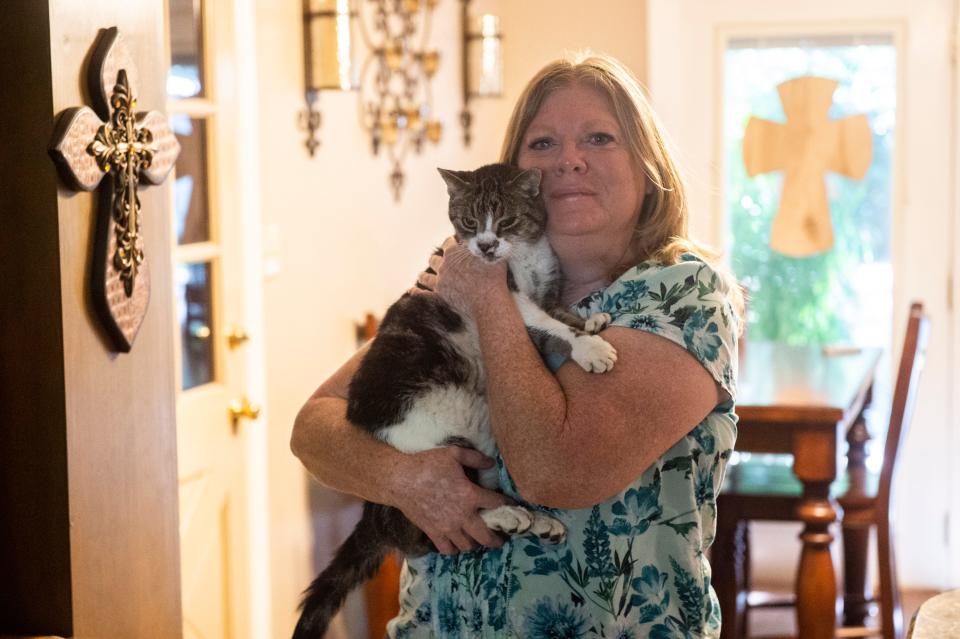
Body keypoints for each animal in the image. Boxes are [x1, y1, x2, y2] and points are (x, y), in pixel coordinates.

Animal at [292, 162, 620, 636]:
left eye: (505, 220)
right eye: (468, 221)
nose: (484, 245)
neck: (524, 255)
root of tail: (373, 511)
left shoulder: (541, 288)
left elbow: (556, 312)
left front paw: (589, 321)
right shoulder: (511, 303)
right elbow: (548, 323)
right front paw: (590, 347)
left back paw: (533, 520)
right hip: (430, 447)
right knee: (432, 527)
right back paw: (507, 516)